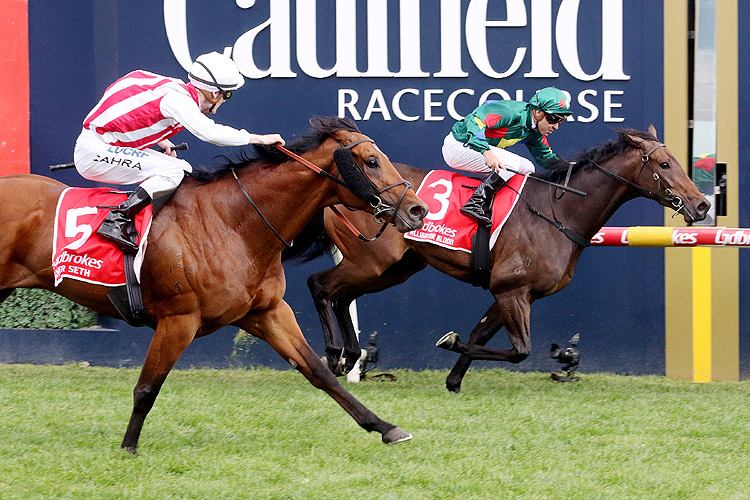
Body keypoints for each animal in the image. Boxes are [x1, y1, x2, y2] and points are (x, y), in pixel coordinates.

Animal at [0, 117, 428, 454]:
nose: (418, 209)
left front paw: (385, 427)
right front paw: (128, 448)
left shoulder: (267, 312)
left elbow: (316, 372)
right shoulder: (179, 319)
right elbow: (147, 388)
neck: (232, 223)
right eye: (371, 161)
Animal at [304, 127, 712, 392]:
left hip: (395, 267)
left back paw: (349, 355)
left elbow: (481, 334)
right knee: (320, 285)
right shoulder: (511, 289)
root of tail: (337, 186)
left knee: (340, 295)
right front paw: (448, 344)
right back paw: (335, 355)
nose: (702, 205)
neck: (558, 212)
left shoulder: (514, 292)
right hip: (371, 260)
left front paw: (454, 379)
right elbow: (519, 351)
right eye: (664, 164)